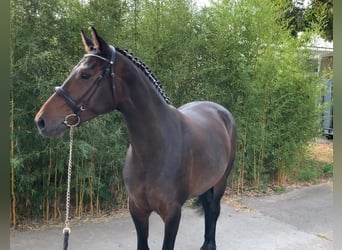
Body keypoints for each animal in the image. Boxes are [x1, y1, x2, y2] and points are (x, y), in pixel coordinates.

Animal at [35, 27, 238, 250]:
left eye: (85, 75)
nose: (41, 120)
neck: (155, 149)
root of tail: (219, 110)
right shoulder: (137, 209)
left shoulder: (172, 214)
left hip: (221, 181)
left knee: (214, 210)